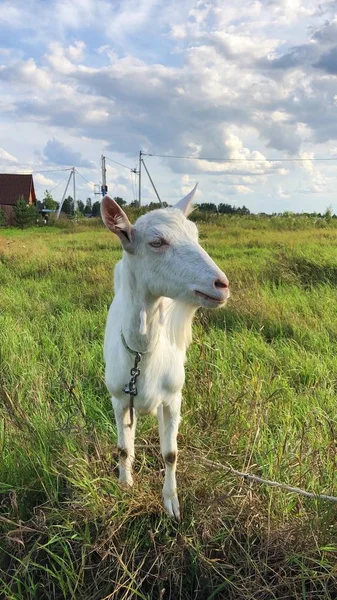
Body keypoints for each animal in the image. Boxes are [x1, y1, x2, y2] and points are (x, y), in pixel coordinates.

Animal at [101, 185, 230, 516]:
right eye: (157, 242)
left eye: (196, 234)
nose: (221, 284)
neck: (141, 353)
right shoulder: (119, 398)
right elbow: (123, 447)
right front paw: (125, 484)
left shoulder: (173, 397)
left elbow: (171, 453)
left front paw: (171, 503)